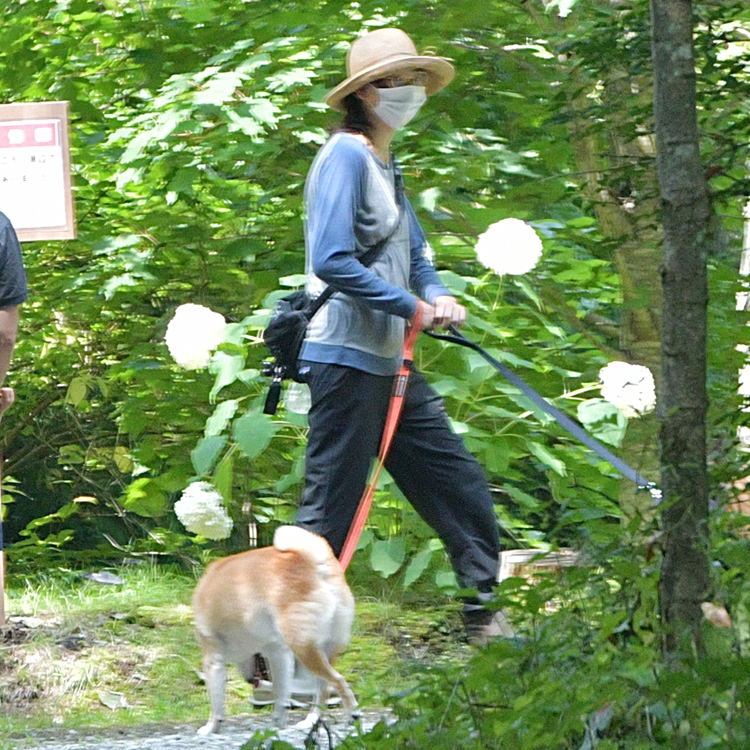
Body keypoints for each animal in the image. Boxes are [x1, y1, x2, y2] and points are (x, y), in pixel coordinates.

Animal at [194, 524, 358, 732]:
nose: (249, 681)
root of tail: (315, 562)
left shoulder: (212, 658)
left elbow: (216, 705)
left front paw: (210, 728)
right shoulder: (279, 654)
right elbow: (281, 698)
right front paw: (278, 725)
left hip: (304, 648)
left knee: (338, 680)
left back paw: (352, 713)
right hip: (324, 650)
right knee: (324, 689)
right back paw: (311, 720)